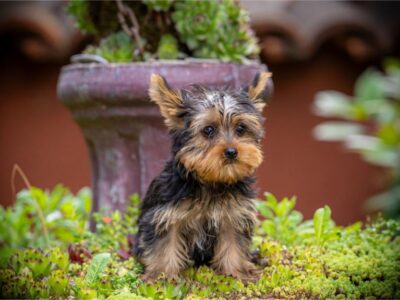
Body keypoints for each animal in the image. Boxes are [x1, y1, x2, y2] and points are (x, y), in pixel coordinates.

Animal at [134, 71, 272, 280]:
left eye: (241, 129)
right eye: (208, 130)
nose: (231, 151)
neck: (212, 181)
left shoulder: (234, 215)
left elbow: (233, 243)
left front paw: (237, 272)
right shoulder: (164, 215)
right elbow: (165, 244)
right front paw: (162, 275)